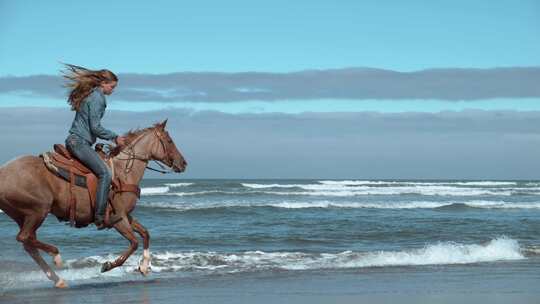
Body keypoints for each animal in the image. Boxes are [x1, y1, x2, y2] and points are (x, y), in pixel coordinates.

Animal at [0, 119, 188, 288]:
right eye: (169, 141)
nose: (183, 163)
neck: (123, 172)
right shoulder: (118, 219)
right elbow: (134, 242)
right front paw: (108, 265)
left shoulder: (126, 215)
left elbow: (145, 234)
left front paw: (143, 266)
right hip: (38, 211)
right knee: (24, 238)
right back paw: (57, 257)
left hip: (23, 215)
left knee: (28, 244)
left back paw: (58, 279)